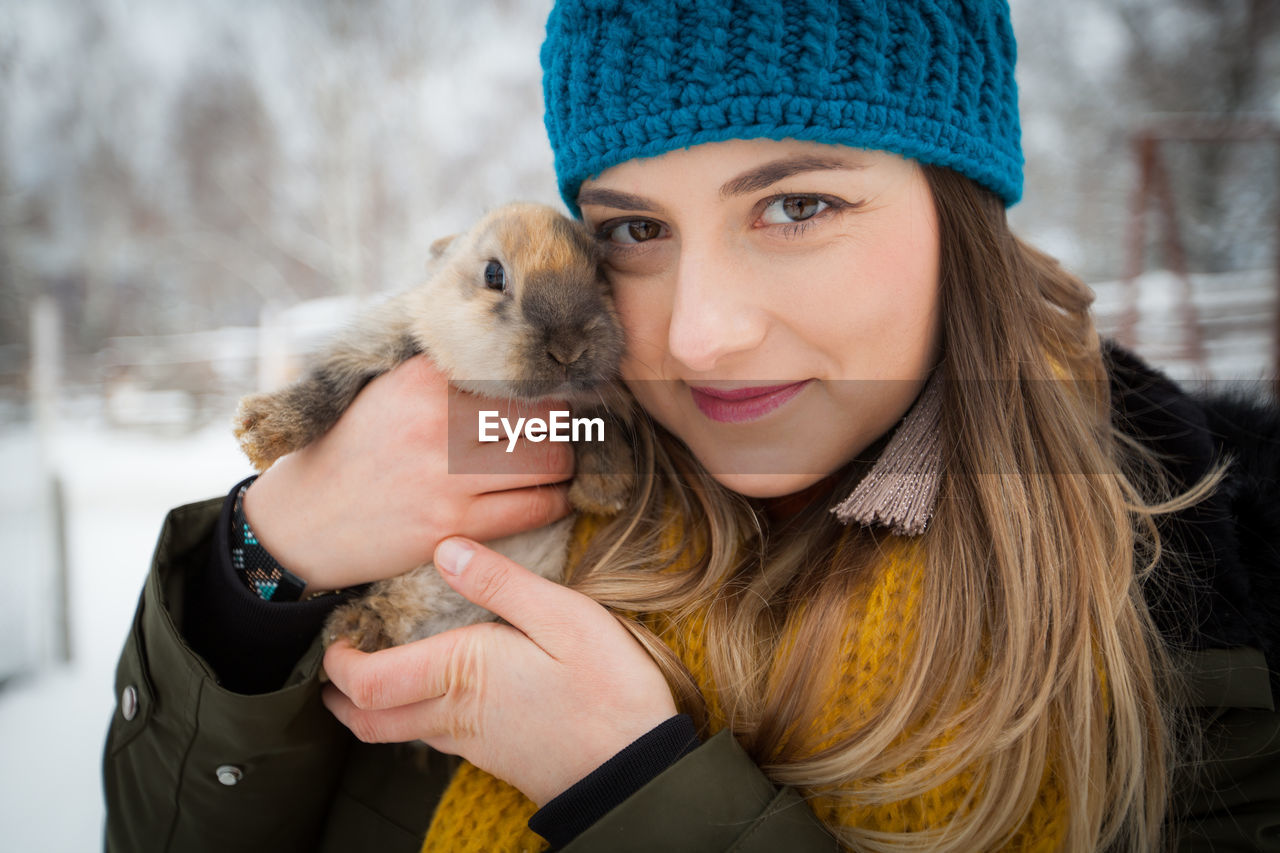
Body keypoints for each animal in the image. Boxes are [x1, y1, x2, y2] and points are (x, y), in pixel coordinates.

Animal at [234, 201, 634, 650]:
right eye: (493, 275)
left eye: (600, 273)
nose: (568, 349)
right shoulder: (378, 341)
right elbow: (329, 388)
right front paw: (258, 433)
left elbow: (598, 424)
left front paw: (601, 495)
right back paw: (352, 627)